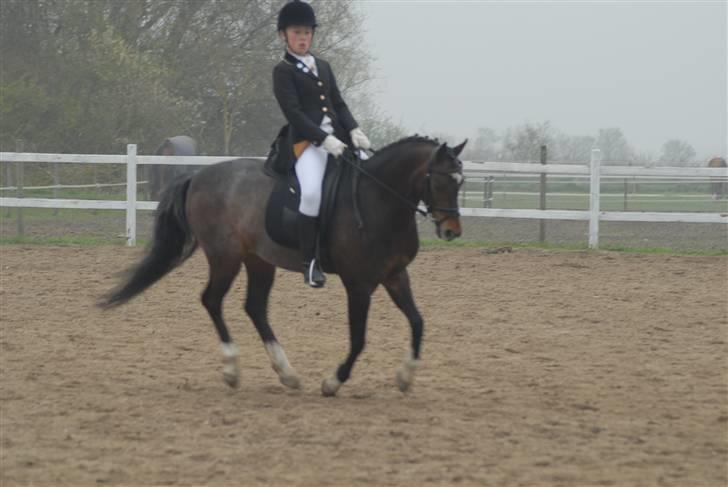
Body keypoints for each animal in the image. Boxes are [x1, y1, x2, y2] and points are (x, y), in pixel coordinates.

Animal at [102, 136, 467, 396]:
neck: (377, 200)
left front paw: (405, 376)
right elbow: (359, 338)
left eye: (461, 181)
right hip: (225, 257)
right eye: (440, 181)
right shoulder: (358, 284)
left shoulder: (395, 275)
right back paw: (233, 370)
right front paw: (333, 381)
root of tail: (198, 175)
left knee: (254, 307)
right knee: (212, 301)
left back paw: (287, 373)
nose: (452, 231)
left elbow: (418, 322)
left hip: (259, 260)